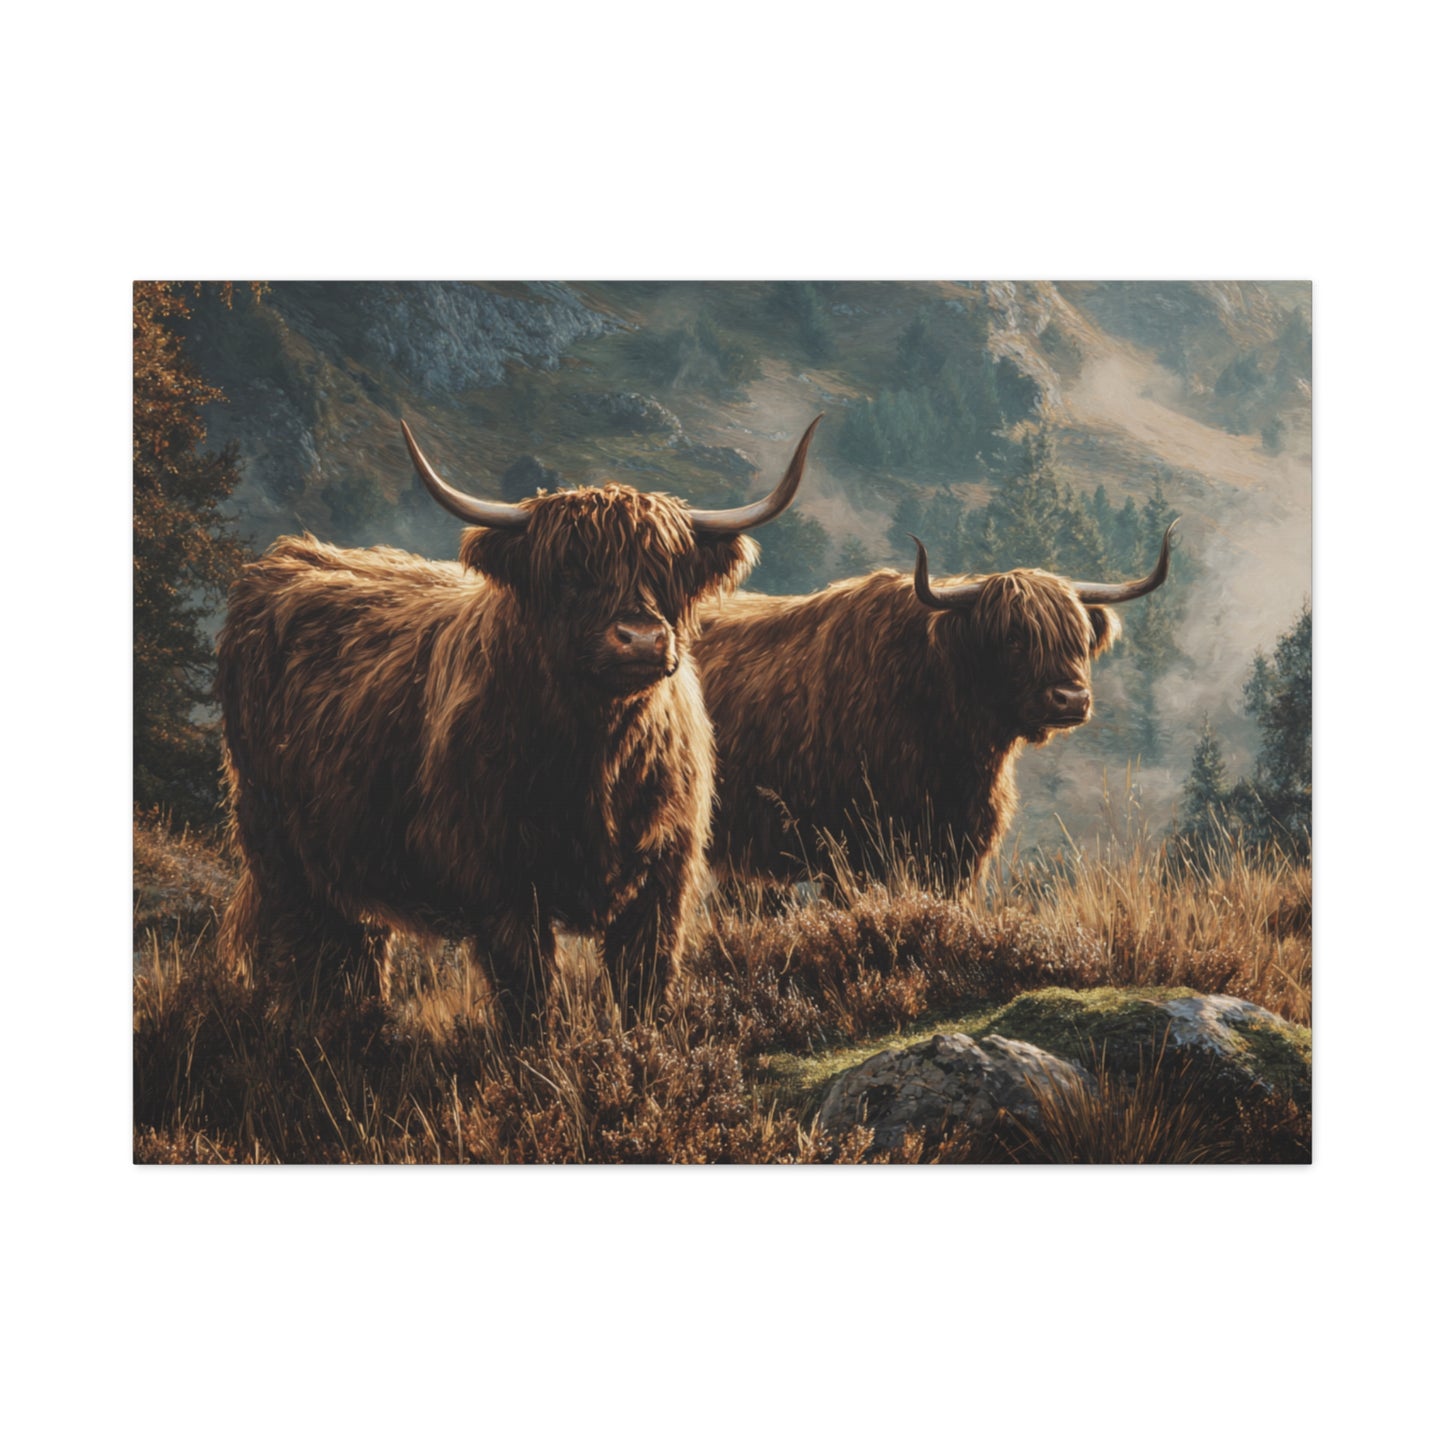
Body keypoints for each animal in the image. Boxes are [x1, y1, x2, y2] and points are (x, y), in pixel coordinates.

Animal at [217, 417, 821, 1032]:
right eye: (570, 573)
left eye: (667, 569)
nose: (641, 639)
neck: (599, 757)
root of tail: (292, 558)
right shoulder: (500, 881)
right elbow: (528, 989)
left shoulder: (663, 875)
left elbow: (642, 982)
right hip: (276, 844)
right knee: (301, 945)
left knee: (356, 944)